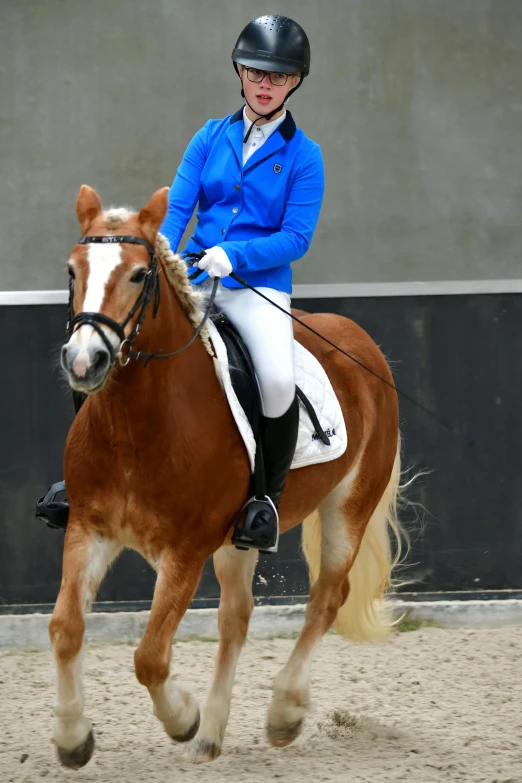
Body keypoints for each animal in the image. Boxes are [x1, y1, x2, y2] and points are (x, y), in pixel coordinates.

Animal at [48, 184, 404, 764]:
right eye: (73, 270)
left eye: (139, 275)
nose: (85, 361)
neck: (136, 426)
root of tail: (361, 341)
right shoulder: (87, 529)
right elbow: (65, 629)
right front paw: (74, 738)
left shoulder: (186, 550)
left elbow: (150, 654)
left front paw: (181, 719)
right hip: (239, 538)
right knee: (236, 617)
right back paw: (212, 734)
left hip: (348, 507)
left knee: (326, 600)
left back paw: (282, 713)